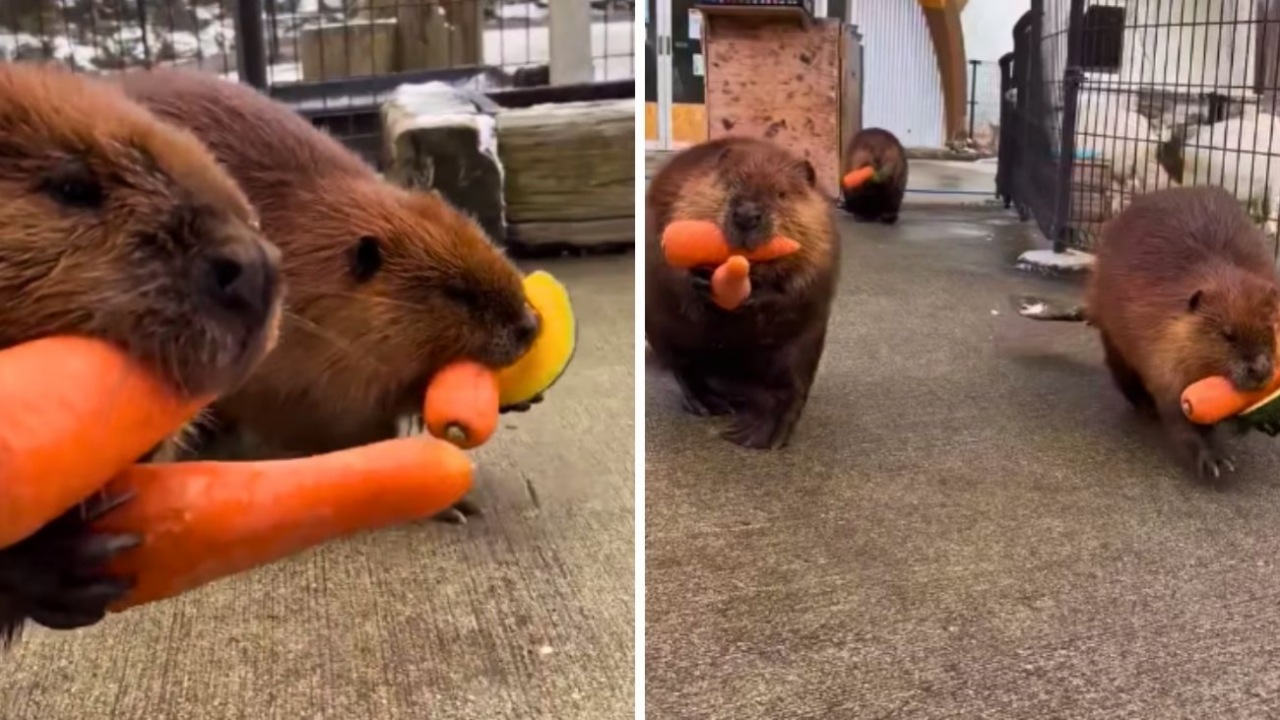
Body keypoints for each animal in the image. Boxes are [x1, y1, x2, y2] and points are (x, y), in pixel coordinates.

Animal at [640, 136, 839, 445]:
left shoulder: (821, 237)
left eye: (781, 193)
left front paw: (754, 294)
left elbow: (801, 286)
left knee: (792, 384)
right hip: (666, 332)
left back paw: (761, 434)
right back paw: (710, 403)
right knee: (684, 365)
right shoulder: (681, 196)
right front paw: (701, 279)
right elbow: (669, 259)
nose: (746, 215)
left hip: (803, 345)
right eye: (731, 184)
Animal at [1080, 184, 1280, 476]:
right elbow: (1177, 408)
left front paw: (1266, 420)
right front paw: (1216, 459)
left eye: (1269, 329)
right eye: (1228, 334)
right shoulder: (1162, 347)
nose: (1259, 369)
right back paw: (1145, 407)